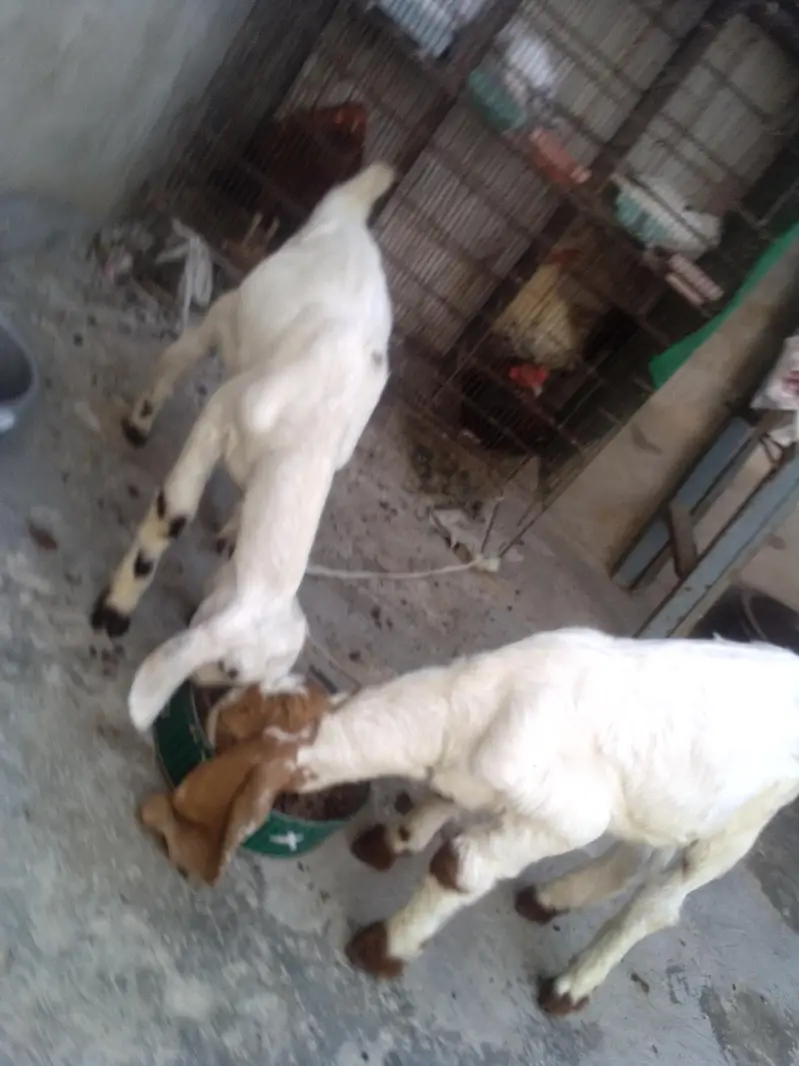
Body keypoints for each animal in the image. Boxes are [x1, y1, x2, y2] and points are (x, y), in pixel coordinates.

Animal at [91, 162, 395, 730]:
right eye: (231, 666)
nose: (209, 699)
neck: (306, 439)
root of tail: (353, 213)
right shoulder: (222, 413)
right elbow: (174, 511)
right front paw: (116, 608)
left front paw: (231, 530)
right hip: (231, 312)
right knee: (182, 351)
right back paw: (141, 419)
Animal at [138, 627, 799, 1013]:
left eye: (226, 743)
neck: (483, 707)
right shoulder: (478, 772)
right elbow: (444, 798)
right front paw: (393, 840)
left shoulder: (564, 815)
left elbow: (460, 867)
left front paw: (382, 949)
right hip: (661, 797)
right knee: (637, 848)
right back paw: (551, 897)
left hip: (744, 821)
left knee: (660, 899)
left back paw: (570, 986)